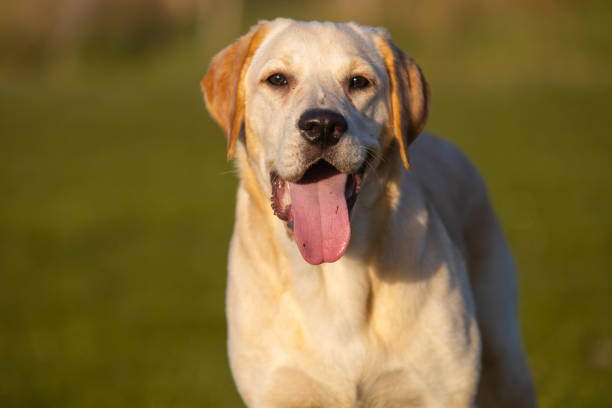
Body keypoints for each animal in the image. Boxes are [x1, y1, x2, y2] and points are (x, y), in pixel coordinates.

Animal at [202, 17, 536, 406]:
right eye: (278, 79)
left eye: (359, 82)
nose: (322, 126)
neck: (334, 275)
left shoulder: (443, 389)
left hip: (504, 357)